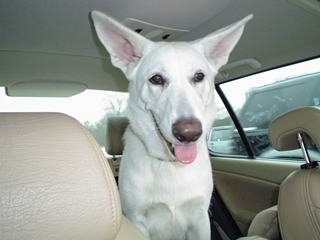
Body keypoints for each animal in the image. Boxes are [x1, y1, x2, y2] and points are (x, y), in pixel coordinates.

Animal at [91, 12, 251, 240]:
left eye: (199, 76)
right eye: (156, 79)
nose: (189, 133)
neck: (170, 165)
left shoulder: (200, 220)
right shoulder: (137, 221)